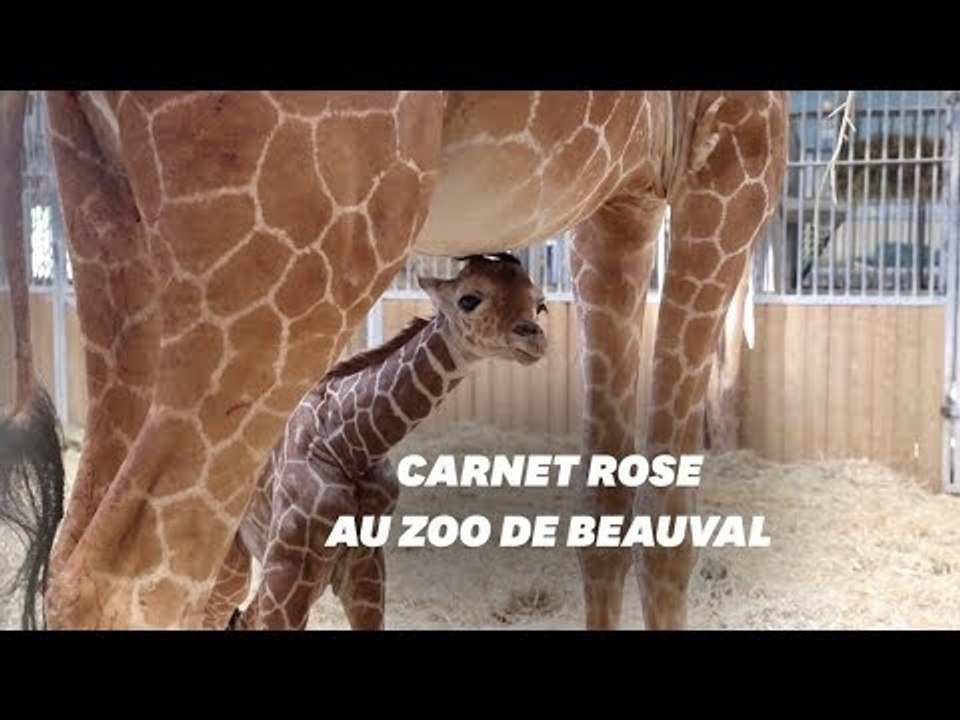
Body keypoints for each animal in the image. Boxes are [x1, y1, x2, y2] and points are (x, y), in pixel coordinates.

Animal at [202, 253, 547, 630]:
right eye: (469, 299)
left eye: (540, 305)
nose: (534, 340)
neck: (350, 445)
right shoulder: (289, 570)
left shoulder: (364, 566)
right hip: (231, 560)